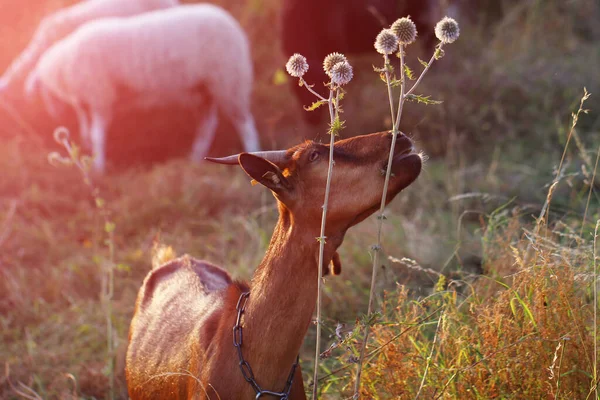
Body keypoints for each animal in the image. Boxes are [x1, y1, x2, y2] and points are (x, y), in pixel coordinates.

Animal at [27, 3, 260, 172]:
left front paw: (98, 167)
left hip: (229, 80)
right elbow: (87, 126)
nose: (53, 117)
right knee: (207, 124)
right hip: (204, 88)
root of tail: (231, 23)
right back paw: (195, 159)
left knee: (244, 123)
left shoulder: (101, 96)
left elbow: (97, 134)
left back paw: (252, 154)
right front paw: (86, 148)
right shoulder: (89, 99)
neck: (64, 67)